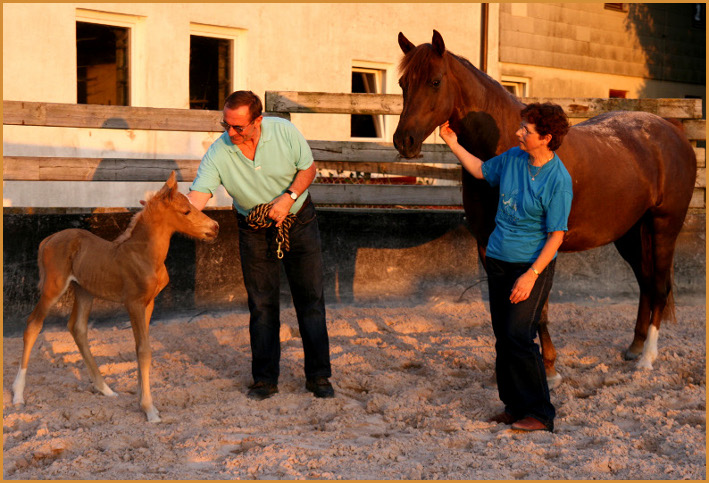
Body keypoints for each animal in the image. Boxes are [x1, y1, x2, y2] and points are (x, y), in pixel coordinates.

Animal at [12, 172, 218, 422]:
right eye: (186, 211)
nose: (215, 227)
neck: (144, 254)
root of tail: (48, 239)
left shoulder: (149, 303)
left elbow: (142, 348)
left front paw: (142, 401)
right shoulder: (134, 303)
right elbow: (144, 350)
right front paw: (149, 410)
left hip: (84, 290)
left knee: (77, 328)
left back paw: (106, 389)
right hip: (54, 287)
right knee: (33, 325)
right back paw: (18, 395)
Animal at [392, 30, 696, 388]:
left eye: (435, 81)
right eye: (403, 83)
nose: (404, 141)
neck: (502, 145)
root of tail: (673, 130)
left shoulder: (541, 249)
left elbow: (539, 309)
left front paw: (549, 370)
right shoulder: (487, 246)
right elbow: (500, 310)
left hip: (664, 226)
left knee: (659, 287)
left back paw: (647, 359)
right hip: (632, 233)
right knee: (646, 282)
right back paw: (634, 348)